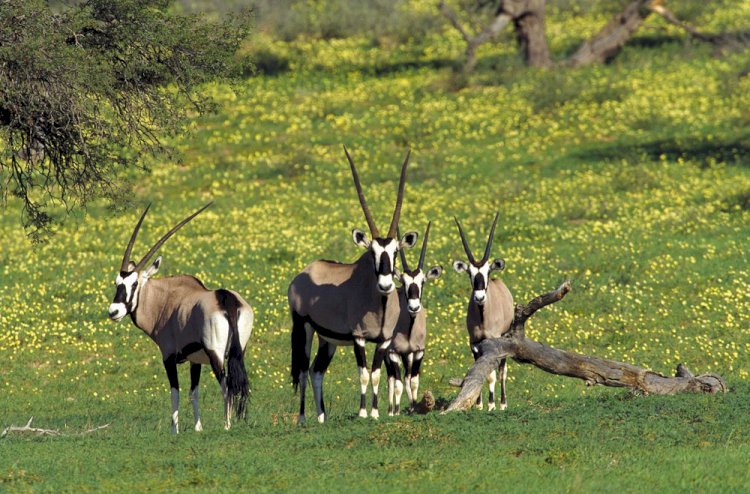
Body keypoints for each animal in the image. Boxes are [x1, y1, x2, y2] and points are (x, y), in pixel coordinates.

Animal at [108, 204, 254, 432]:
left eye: (134, 284)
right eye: (117, 283)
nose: (114, 311)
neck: (165, 299)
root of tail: (226, 299)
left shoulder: (168, 357)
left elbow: (175, 392)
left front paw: (174, 430)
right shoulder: (196, 361)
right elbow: (194, 392)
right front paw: (198, 428)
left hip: (216, 355)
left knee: (226, 387)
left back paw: (226, 427)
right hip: (237, 352)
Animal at [290, 147, 420, 424]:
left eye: (395, 252)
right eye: (372, 252)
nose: (385, 284)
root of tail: (304, 274)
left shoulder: (383, 341)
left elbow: (376, 374)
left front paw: (375, 411)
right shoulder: (359, 338)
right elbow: (363, 373)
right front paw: (362, 412)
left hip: (327, 339)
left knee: (317, 371)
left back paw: (322, 417)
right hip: (304, 328)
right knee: (304, 370)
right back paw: (303, 418)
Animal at [384, 222, 444, 414]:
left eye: (422, 282)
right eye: (403, 282)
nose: (414, 307)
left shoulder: (418, 351)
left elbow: (414, 380)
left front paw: (415, 406)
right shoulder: (393, 353)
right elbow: (397, 384)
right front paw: (395, 412)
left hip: (408, 355)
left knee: (407, 376)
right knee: (391, 379)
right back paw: (391, 410)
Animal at [452, 211, 516, 410]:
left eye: (487, 271)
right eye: (470, 273)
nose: (479, 298)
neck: (482, 318)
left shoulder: (493, 343)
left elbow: (491, 375)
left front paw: (491, 405)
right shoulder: (474, 343)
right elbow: (477, 371)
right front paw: (478, 405)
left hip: (504, 339)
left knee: (502, 371)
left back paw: (502, 403)